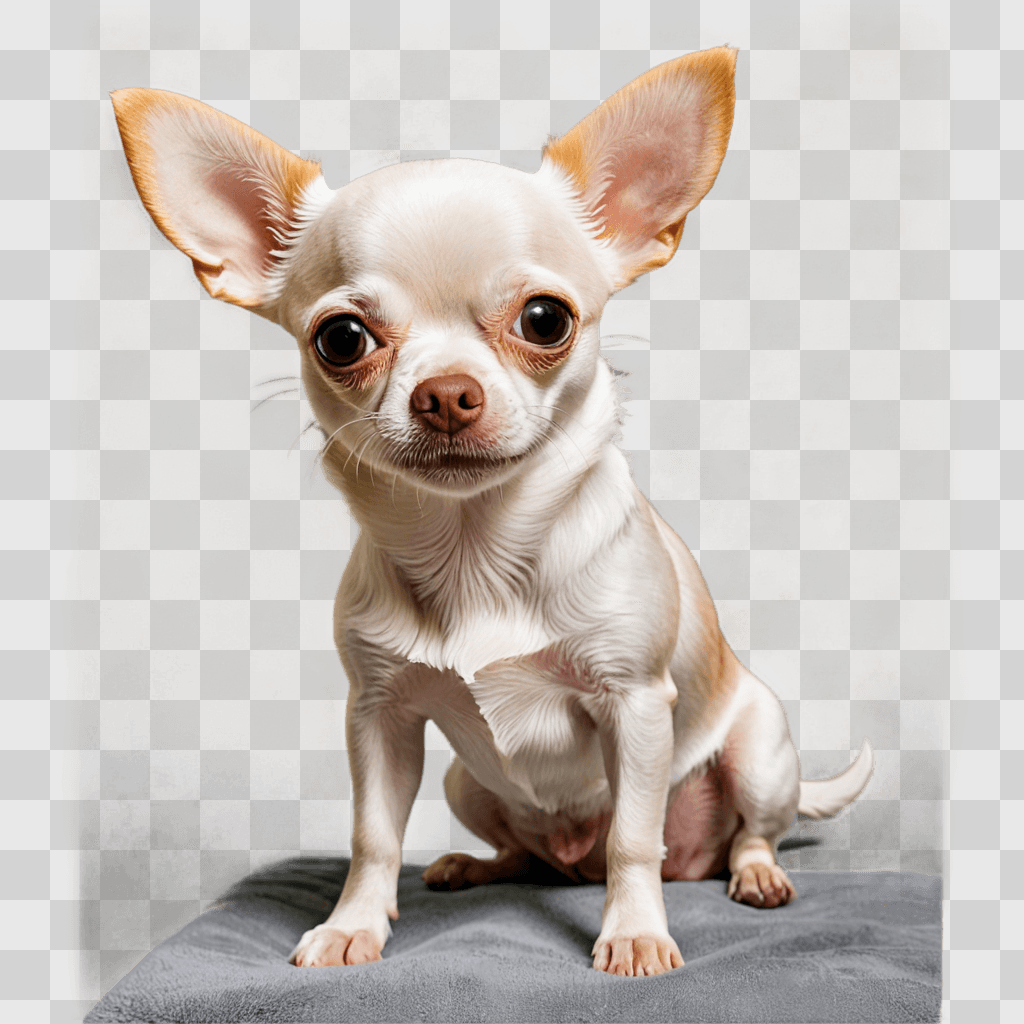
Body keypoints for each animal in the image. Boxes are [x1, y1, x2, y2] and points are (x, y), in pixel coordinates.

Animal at [116, 46, 876, 974]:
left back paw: (753, 874)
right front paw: (353, 924)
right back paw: (475, 866)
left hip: (759, 751)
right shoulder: (380, 717)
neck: (475, 547)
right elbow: (373, 835)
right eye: (340, 339)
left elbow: (633, 838)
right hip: (462, 781)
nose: (446, 393)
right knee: (527, 849)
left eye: (545, 319)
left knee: (732, 834)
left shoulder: (634, 706)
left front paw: (635, 933)